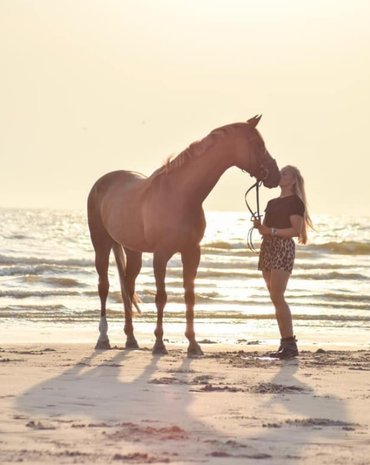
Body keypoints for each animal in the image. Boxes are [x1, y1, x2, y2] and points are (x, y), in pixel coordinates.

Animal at [86, 117, 278, 356]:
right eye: (258, 145)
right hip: (101, 244)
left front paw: (193, 344)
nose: (277, 175)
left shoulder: (192, 252)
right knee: (103, 287)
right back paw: (103, 338)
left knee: (127, 288)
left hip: (133, 250)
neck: (181, 195)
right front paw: (159, 344)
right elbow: (161, 297)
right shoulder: (161, 255)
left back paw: (131, 339)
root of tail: (101, 182)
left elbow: (190, 296)